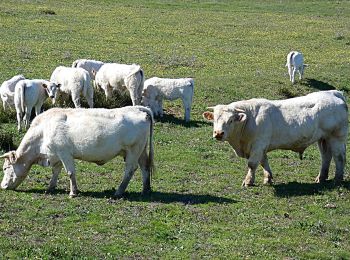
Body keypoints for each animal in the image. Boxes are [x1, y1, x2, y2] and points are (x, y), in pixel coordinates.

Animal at [0, 105, 153, 197]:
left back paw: (119, 191)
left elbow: (70, 172)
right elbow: (55, 171)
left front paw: (73, 192)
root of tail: (137, 109)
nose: (2, 186)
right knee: (145, 167)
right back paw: (146, 189)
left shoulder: (65, 153)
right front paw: (50, 187)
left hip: (133, 150)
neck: (43, 130)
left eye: (5, 168)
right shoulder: (56, 155)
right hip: (141, 151)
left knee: (130, 170)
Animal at [202, 90, 348, 186]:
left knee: (339, 157)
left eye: (231, 120)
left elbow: (252, 164)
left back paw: (337, 179)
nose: (218, 133)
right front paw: (268, 178)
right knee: (326, 156)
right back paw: (321, 178)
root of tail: (334, 92)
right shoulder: (260, 147)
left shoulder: (258, 144)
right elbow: (263, 162)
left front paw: (248, 181)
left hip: (336, 137)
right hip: (323, 139)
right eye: (214, 119)